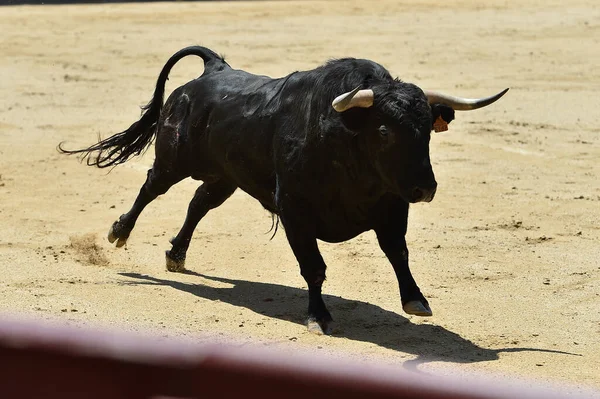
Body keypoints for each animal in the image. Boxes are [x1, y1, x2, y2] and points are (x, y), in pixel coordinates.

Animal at [58, 46, 506, 334]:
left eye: (427, 130)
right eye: (383, 131)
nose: (425, 188)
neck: (344, 143)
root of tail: (214, 69)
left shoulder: (392, 205)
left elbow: (398, 252)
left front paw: (416, 301)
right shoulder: (295, 211)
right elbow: (314, 267)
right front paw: (318, 318)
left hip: (225, 177)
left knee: (199, 202)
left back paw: (176, 255)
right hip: (176, 159)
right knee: (152, 186)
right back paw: (119, 232)